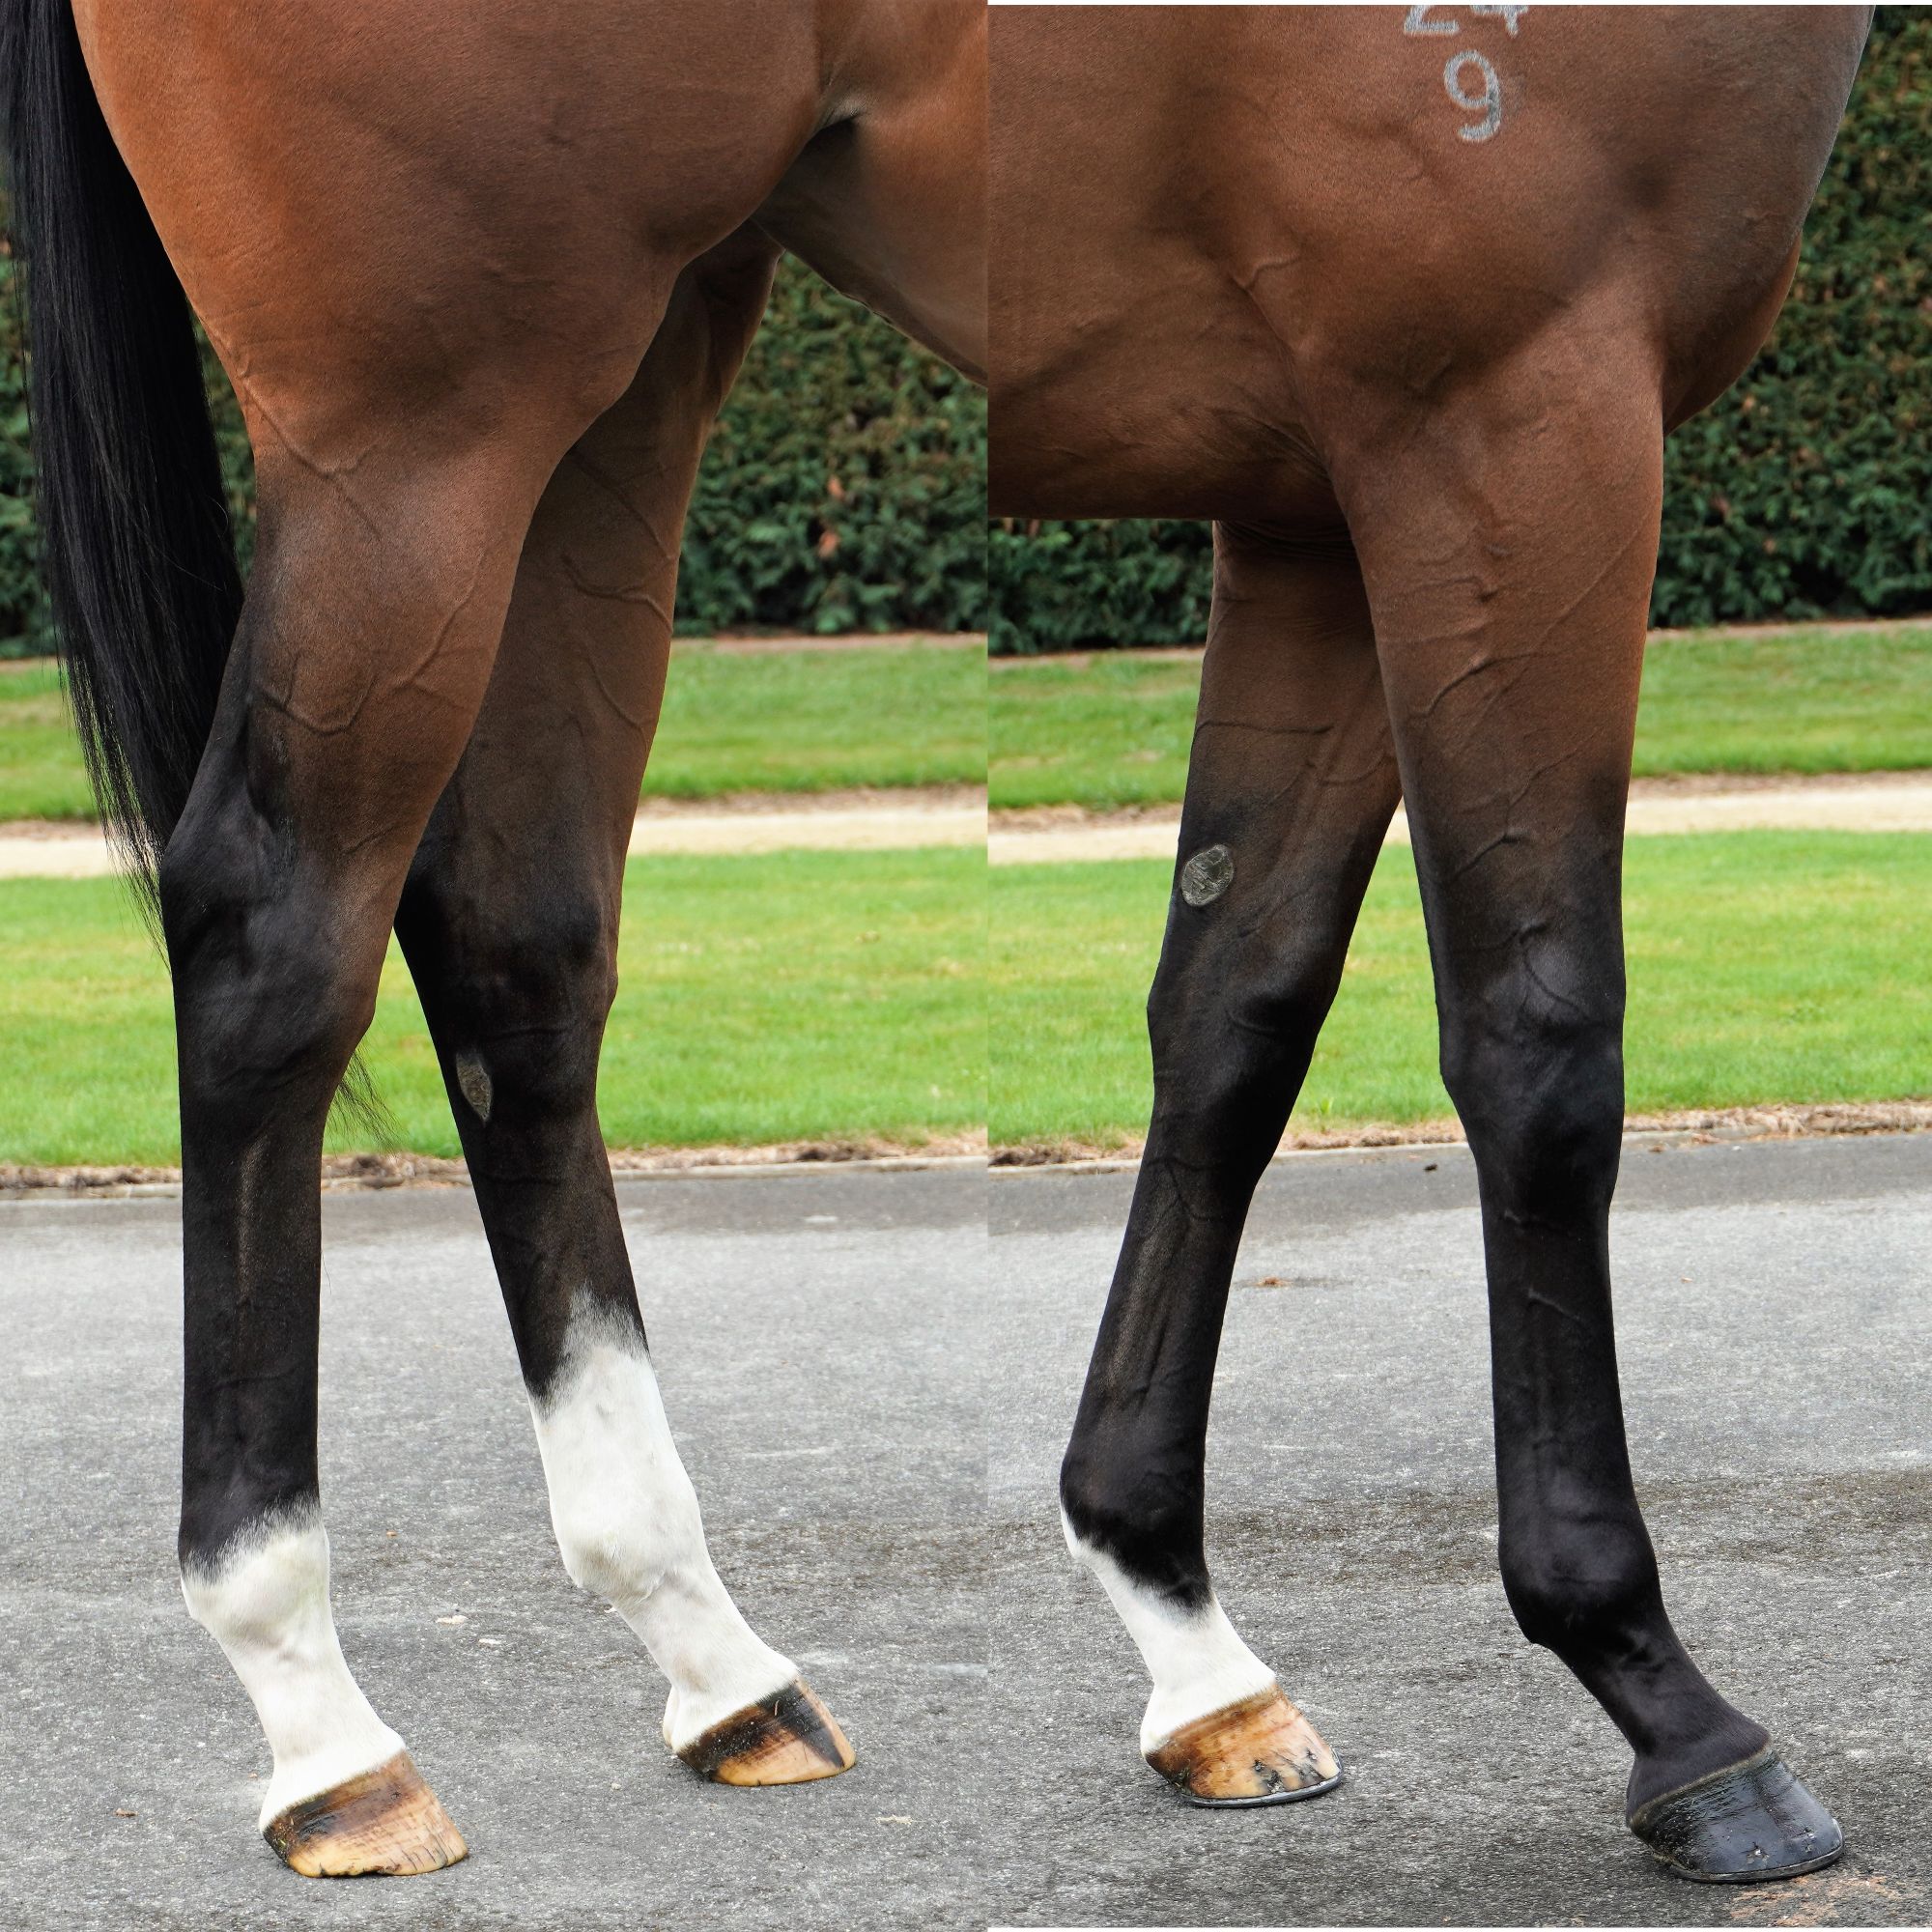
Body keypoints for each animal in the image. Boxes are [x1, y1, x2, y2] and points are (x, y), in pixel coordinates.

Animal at [4, 0, 984, 1878]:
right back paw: (319, 1719)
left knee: (515, 949)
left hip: (620, 376)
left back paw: (709, 1654)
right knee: (280, 930)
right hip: (431, 427)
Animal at [989, 2, 1870, 1886]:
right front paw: (1660, 1696)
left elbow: (1235, 1003)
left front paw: (1184, 1632)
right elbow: (1538, 1043)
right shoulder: (1507, 417)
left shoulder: (1316, 499)